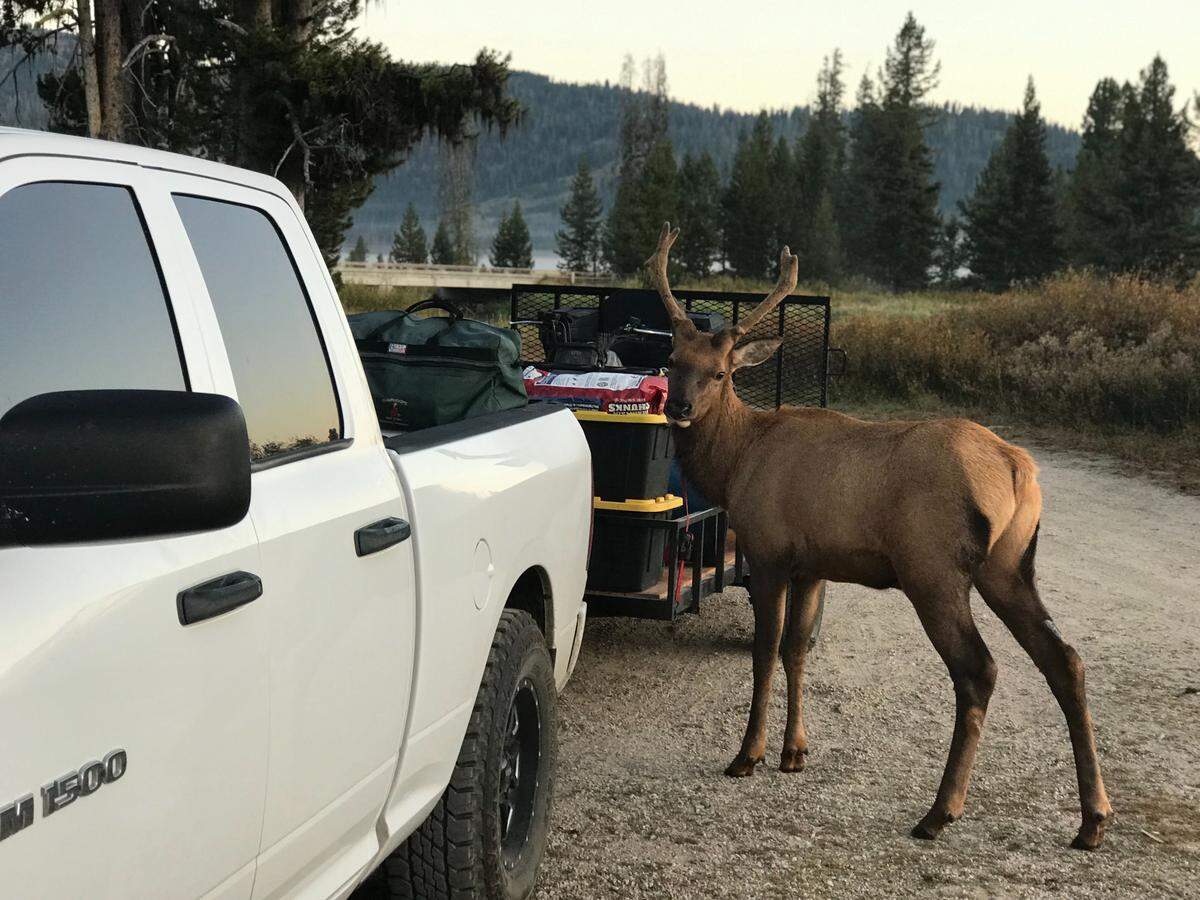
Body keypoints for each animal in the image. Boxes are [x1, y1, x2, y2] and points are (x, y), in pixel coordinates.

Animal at [646, 223, 1112, 850]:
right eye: (672, 359)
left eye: (721, 372)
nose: (678, 406)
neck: (737, 461)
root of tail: (1018, 469)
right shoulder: (813, 564)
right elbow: (797, 649)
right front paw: (795, 752)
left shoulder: (768, 551)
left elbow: (765, 651)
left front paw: (748, 755)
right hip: (1010, 565)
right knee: (1065, 659)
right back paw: (1093, 818)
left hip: (933, 567)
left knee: (979, 670)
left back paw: (940, 811)